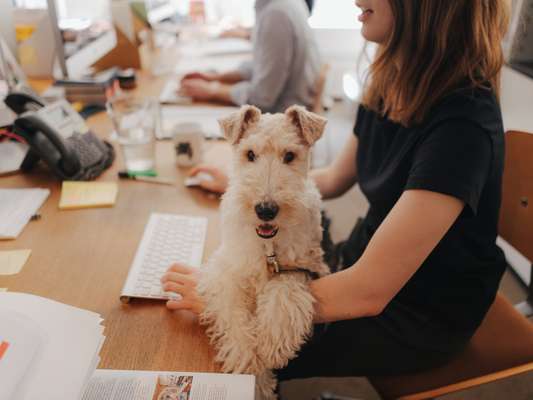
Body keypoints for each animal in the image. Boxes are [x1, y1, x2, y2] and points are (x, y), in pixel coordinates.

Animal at [196, 104, 328, 398]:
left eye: (289, 155)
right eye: (250, 154)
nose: (265, 210)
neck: (268, 248)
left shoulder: (301, 266)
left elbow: (283, 295)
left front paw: (272, 346)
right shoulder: (227, 271)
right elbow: (234, 314)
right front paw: (250, 364)